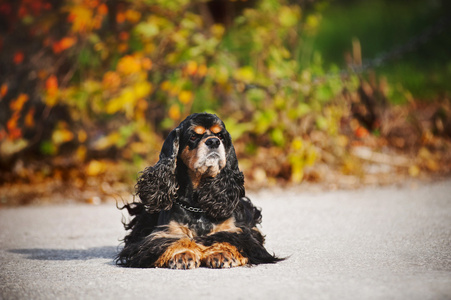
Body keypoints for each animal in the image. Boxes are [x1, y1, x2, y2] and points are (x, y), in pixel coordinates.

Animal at [115, 113, 280, 270]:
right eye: (193, 136)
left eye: (220, 135)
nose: (213, 141)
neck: (197, 206)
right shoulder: (163, 233)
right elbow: (177, 239)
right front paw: (183, 254)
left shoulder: (239, 232)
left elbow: (226, 238)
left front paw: (221, 253)